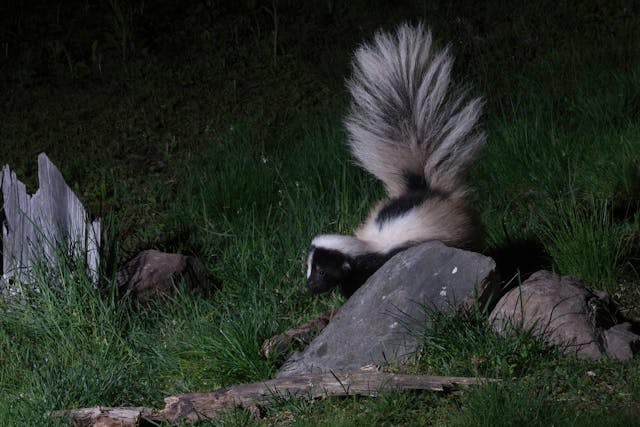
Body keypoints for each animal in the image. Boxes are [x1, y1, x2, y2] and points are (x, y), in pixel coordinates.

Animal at [306, 23, 484, 298]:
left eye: (323, 272)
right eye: (308, 269)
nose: (309, 287)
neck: (368, 246)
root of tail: (427, 189)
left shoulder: (385, 260)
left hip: (462, 234)